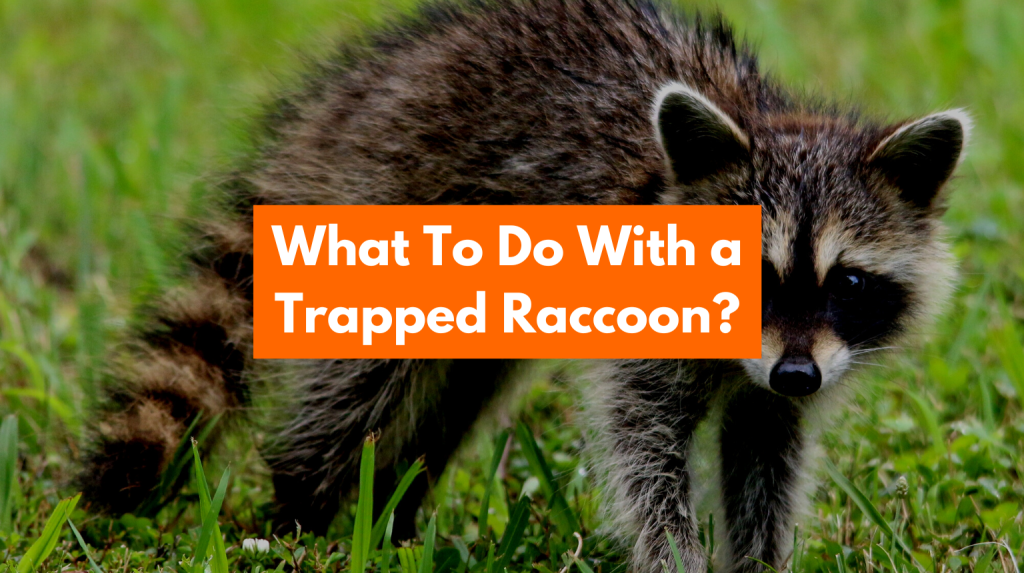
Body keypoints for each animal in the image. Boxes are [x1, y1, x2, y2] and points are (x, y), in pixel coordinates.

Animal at [77, 1, 968, 572]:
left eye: (848, 281)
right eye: (746, 272)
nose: (796, 372)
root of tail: (360, 87)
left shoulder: (782, 372)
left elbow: (764, 454)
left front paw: (757, 558)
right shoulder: (651, 330)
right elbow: (642, 447)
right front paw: (672, 554)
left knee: (460, 386)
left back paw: (394, 505)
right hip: (397, 194)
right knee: (363, 378)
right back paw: (306, 501)